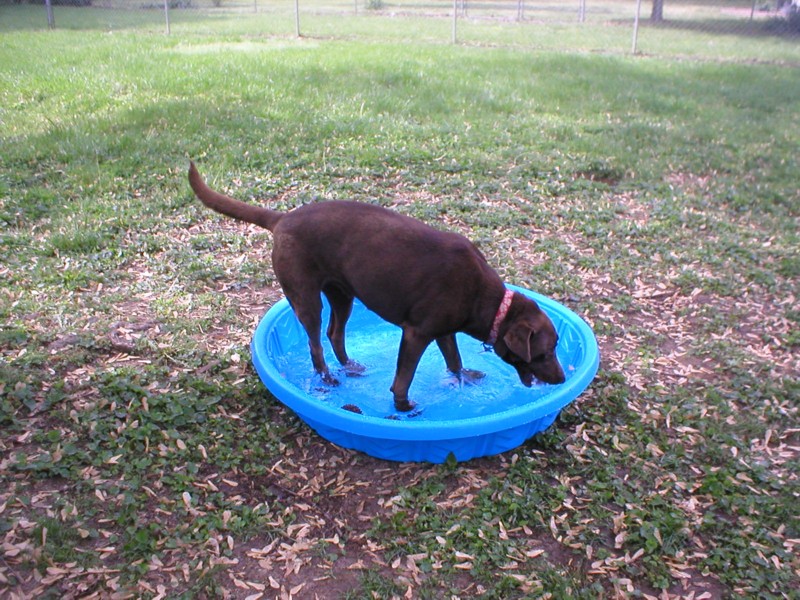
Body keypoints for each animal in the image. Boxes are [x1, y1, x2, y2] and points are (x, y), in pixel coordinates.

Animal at [189, 162, 564, 410]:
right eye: (545, 352)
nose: (561, 379)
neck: (489, 302)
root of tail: (282, 218)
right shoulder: (416, 333)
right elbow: (403, 380)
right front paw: (404, 406)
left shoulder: (444, 332)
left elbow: (455, 361)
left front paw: (466, 377)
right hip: (306, 297)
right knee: (315, 343)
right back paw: (328, 378)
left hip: (343, 294)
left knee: (334, 334)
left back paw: (350, 367)